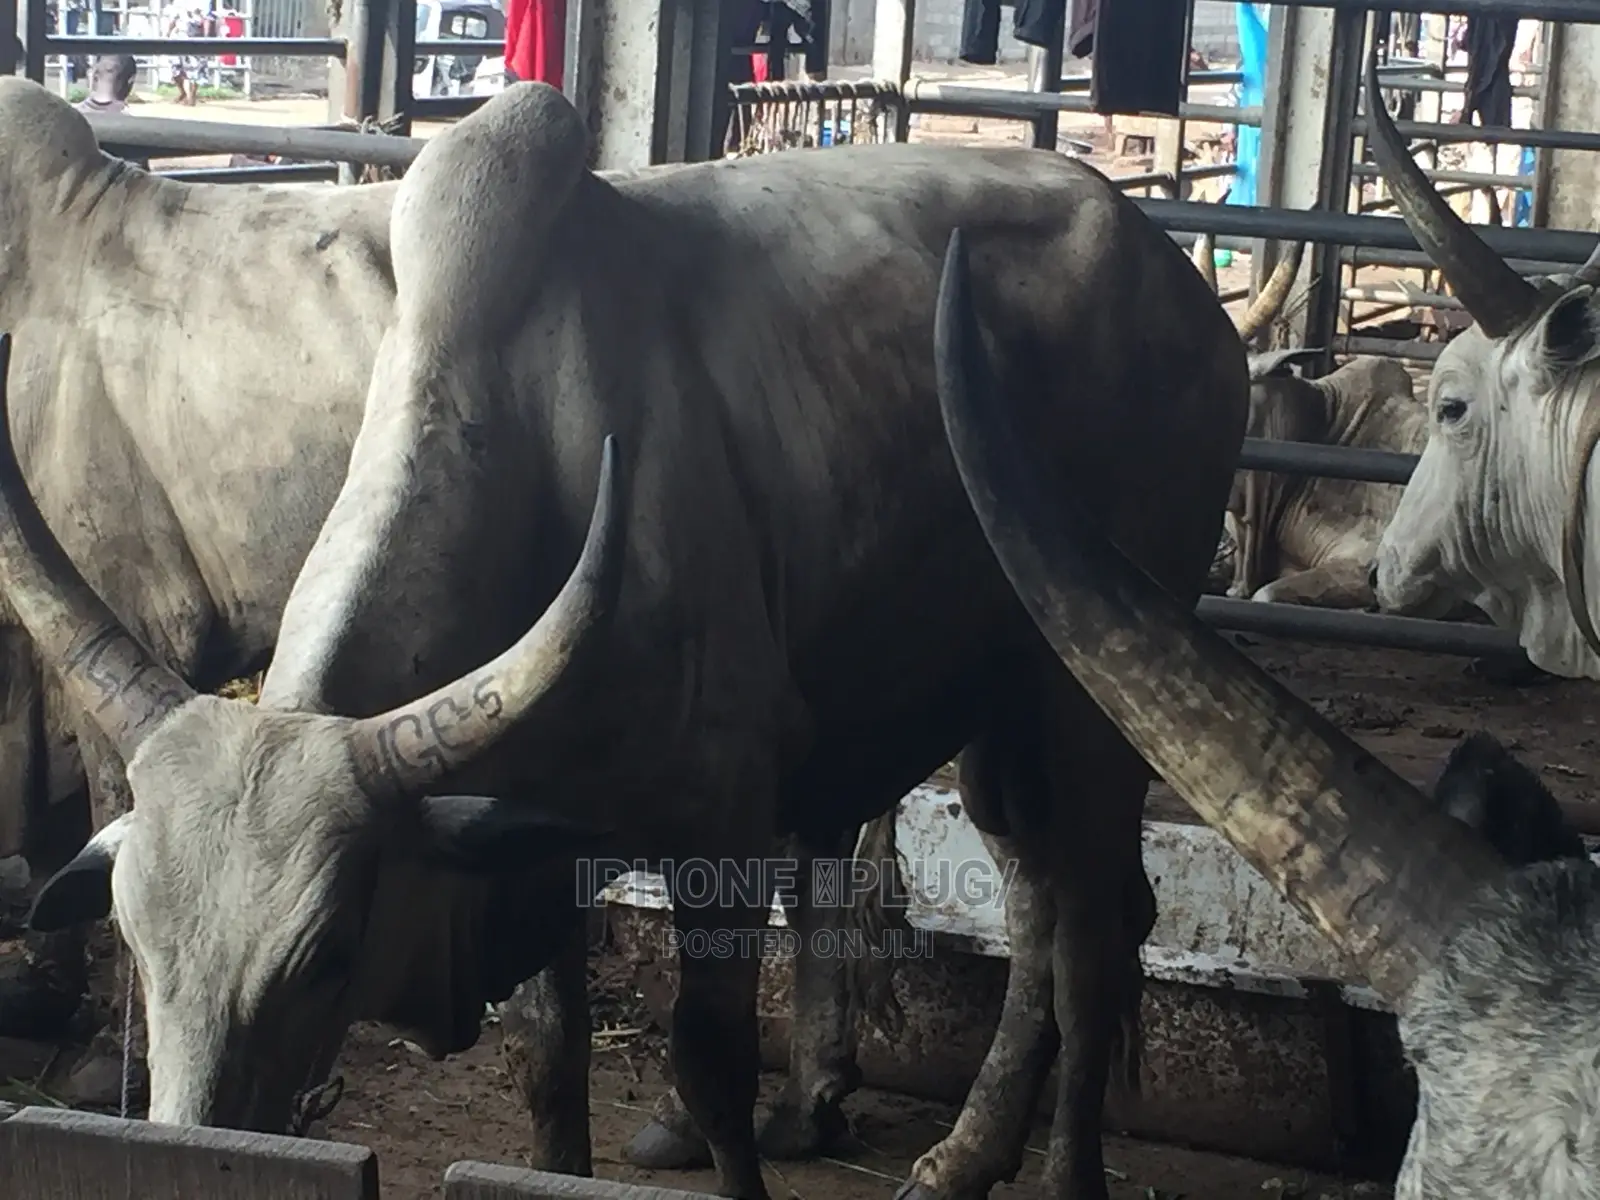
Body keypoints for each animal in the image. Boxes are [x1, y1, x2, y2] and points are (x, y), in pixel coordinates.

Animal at [5, 80, 1248, 1200]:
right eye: (134, 937)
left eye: (325, 953)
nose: (194, 1146)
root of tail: (1173, 272)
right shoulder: (533, 845)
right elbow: (549, 1065)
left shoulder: (726, 826)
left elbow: (712, 1070)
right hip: (999, 709)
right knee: (1039, 902)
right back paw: (963, 1157)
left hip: (1098, 691)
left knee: (1091, 938)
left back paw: (1062, 1171)